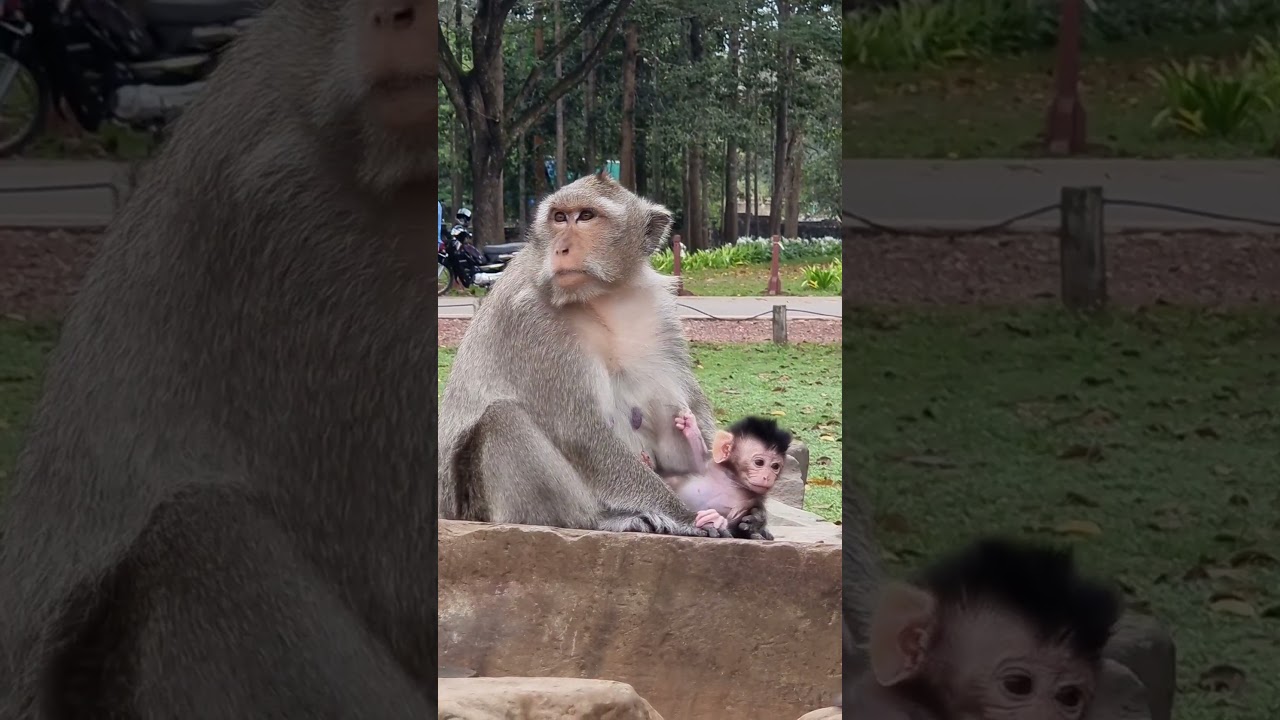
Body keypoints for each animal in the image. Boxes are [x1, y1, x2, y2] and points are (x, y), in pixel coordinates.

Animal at [438, 172, 737, 538]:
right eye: (559, 217)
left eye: (586, 216)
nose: (561, 248)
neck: (601, 297)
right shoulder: (532, 320)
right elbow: (580, 432)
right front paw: (688, 516)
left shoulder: (658, 314)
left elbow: (676, 428)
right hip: (477, 505)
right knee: (502, 420)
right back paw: (600, 520)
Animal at [655, 412, 790, 540]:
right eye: (759, 462)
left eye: (775, 466)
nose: (767, 477)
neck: (732, 479)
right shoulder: (707, 468)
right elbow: (699, 460)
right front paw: (690, 427)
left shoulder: (751, 501)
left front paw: (716, 520)